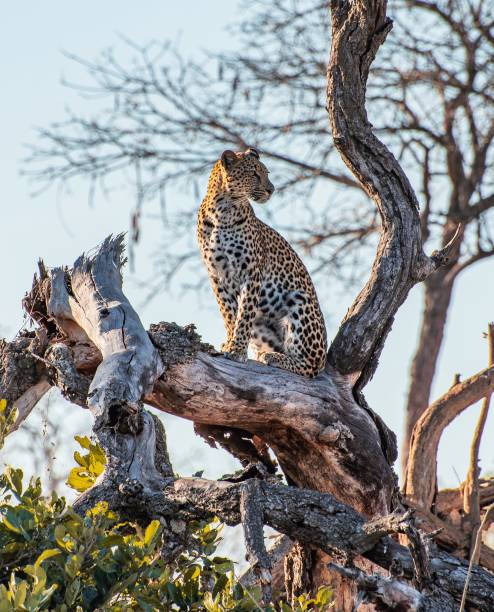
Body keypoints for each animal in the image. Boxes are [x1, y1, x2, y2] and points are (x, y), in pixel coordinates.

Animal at [197, 148, 328, 378]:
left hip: (300, 302)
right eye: (254, 174)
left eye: (266, 173)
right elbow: (230, 314)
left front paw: (237, 349)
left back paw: (274, 358)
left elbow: (244, 315)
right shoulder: (217, 276)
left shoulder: (251, 273)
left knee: (310, 367)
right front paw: (230, 343)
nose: (271, 190)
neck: (222, 209)